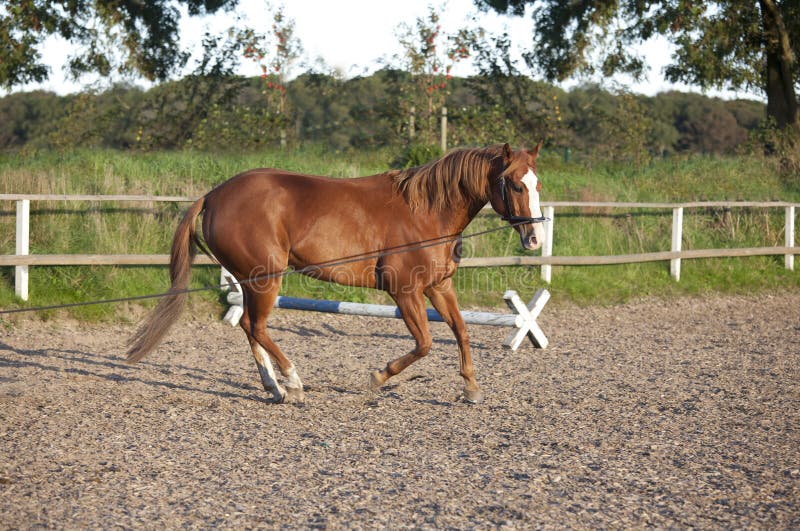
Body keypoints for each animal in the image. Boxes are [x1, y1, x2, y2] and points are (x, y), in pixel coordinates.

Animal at [126, 143, 546, 404]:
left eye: (537, 183)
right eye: (513, 184)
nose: (534, 238)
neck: (426, 211)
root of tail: (214, 195)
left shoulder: (439, 286)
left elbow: (461, 331)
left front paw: (471, 388)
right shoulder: (405, 290)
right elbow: (425, 343)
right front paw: (377, 379)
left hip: (250, 279)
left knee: (249, 327)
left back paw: (274, 387)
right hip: (266, 278)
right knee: (256, 326)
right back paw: (293, 383)